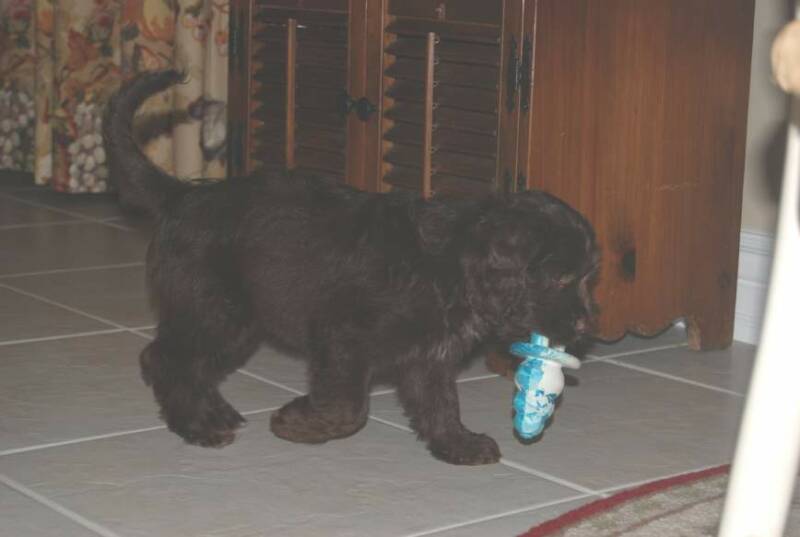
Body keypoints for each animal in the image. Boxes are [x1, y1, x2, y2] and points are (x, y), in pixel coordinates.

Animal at [103, 70, 599, 465]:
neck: (449, 267)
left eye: (588, 278)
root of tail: (184, 195)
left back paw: (212, 413)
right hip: (216, 309)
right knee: (164, 358)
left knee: (191, 364)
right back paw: (198, 425)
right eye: (559, 277)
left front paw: (457, 444)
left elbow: (440, 403)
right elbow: (350, 408)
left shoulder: (428, 357)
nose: (585, 326)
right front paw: (296, 423)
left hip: (233, 319)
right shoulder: (342, 339)